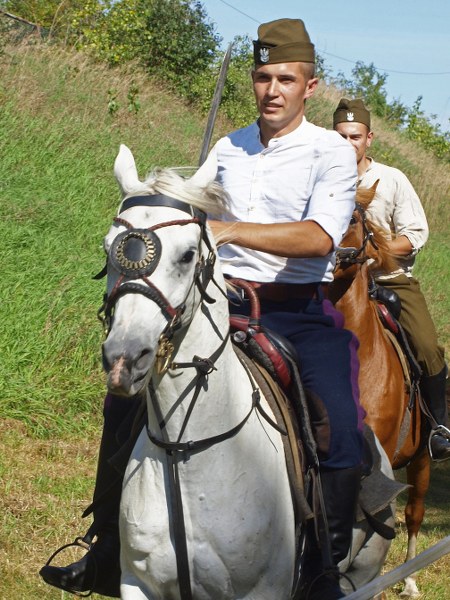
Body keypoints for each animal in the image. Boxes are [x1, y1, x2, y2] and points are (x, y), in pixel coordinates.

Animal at [99, 144, 398, 599]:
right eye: (108, 249)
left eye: (188, 254)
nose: (124, 358)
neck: (184, 452)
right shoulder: (138, 583)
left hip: (366, 574)